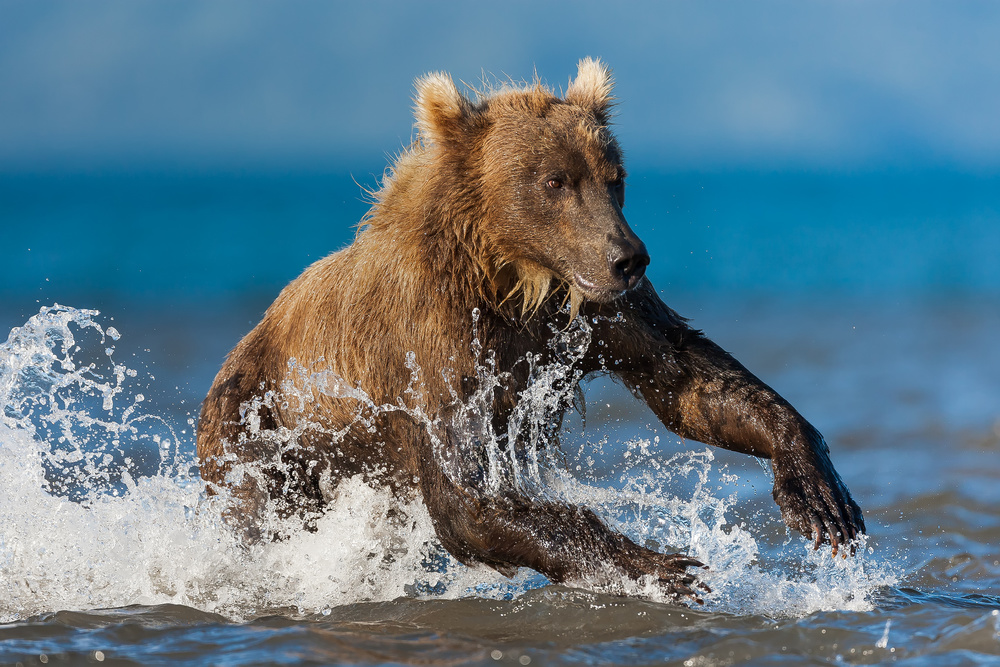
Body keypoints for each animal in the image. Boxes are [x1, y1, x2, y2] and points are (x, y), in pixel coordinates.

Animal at [195, 60, 860, 604]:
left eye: (615, 175)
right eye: (555, 180)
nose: (630, 257)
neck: (510, 277)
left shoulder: (589, 314)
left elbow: (687, 380)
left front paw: (819, 495)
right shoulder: (432, 346)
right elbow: (471, 498)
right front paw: (661, 566)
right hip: (258, 434)